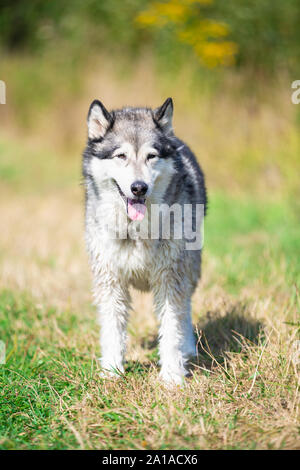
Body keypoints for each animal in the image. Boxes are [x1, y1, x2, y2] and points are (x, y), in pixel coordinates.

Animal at [83, 97, 207, 384]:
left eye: (151, 156)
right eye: (121, 156)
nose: (139, 188)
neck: (135, 232)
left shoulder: (170, 278)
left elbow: (172, 328)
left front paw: (172, 377)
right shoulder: (110, 280)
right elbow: (112, 330)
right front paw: (112, 372)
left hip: (189, 268)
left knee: (186, 308)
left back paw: (188, 349)